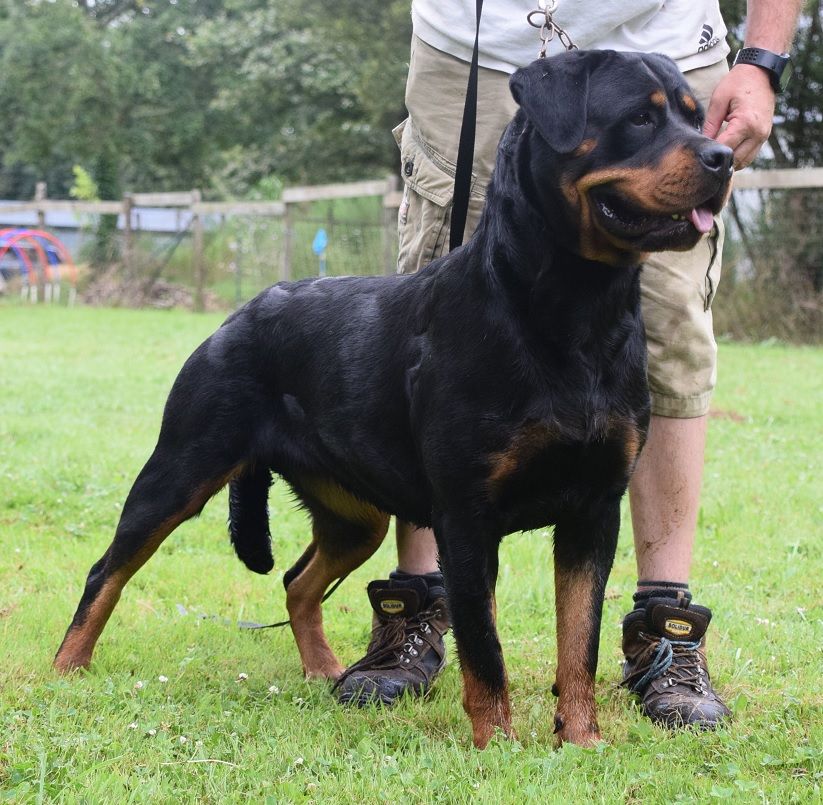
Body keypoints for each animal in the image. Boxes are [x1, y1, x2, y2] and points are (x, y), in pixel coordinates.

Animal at [54, 51, 732, 748]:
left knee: (298, 583)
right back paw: (66, 670)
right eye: (640, 118)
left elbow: (580, 639)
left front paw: (581, 739)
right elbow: (484, 647)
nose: (724, 157)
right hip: (182, 467)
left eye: (696, 117)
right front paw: (498, 744)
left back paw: (325, 671)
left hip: (355, 514)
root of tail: (238, 315)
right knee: (107, 569)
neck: (572, 314)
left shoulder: (593, 511)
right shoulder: (466, 517)